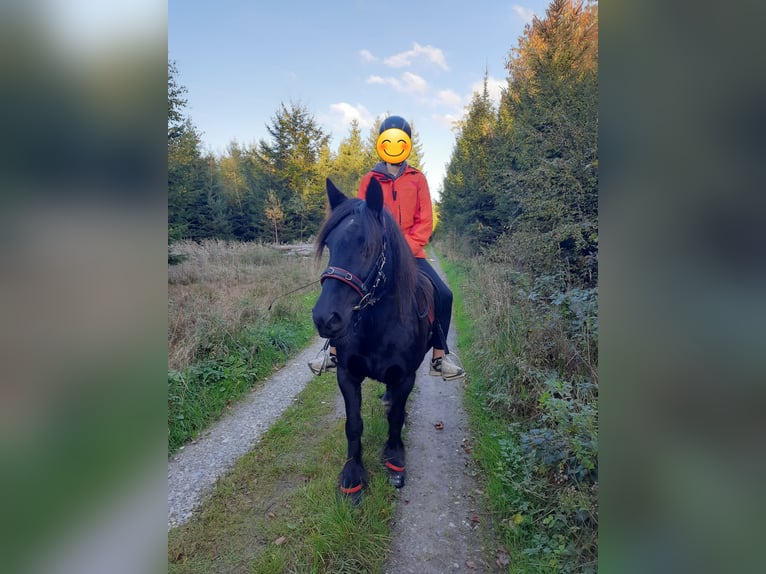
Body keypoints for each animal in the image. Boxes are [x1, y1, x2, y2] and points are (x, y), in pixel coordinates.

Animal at [312, 177, 435, 502]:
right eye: (329, 245)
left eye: (369, 247)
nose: (325, 318)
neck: (380, 325)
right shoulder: (347, 375)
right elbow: (354, 424)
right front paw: (353, 474)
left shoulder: (405, 376)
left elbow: (396, 418)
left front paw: (394, 458)